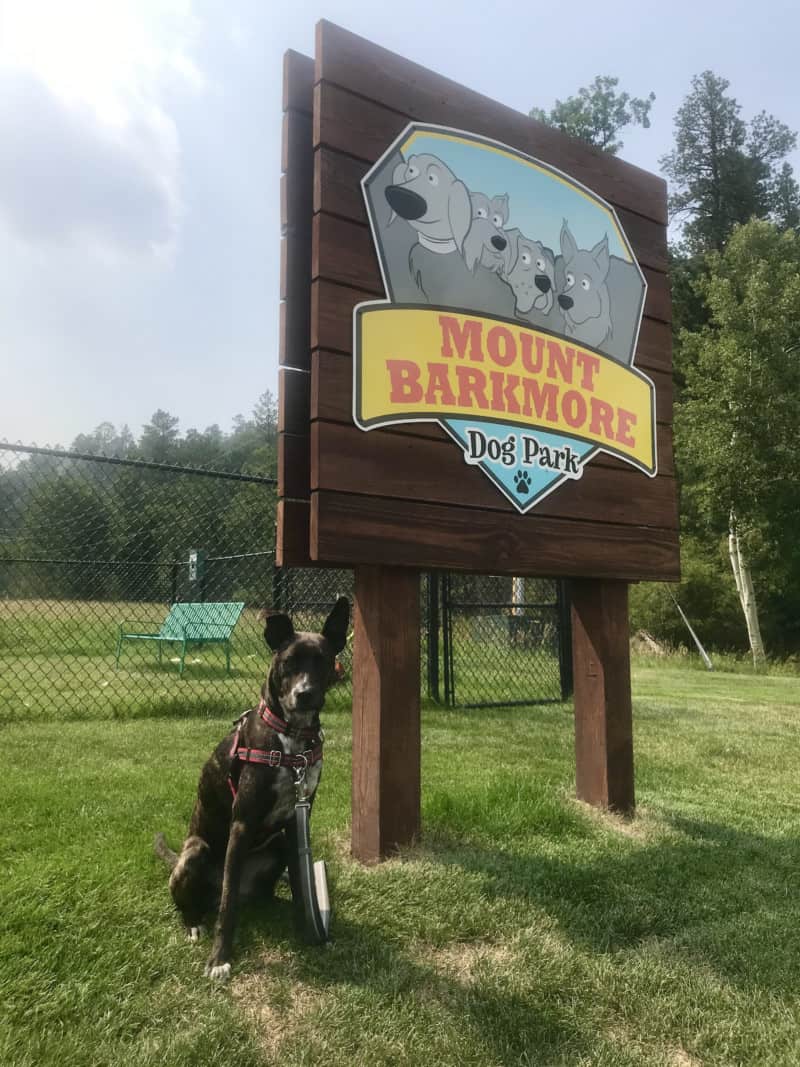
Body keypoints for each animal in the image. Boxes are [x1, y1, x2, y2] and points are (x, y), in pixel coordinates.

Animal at [156, 597, 349, 977]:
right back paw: (194, 923)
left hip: (276, 848)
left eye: (322, 661)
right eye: (288, 662)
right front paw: (219, 959)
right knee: (200, 901)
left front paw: (310, 932)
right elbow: (228, 904)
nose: (304, 695)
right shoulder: (242, 824)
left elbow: (302, 887)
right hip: (196, 851)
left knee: (263, 893)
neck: (291, 739)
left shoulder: (297, 823)